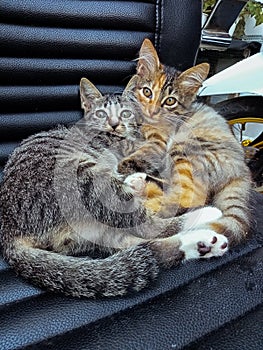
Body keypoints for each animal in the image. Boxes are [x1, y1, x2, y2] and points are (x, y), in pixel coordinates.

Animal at [0, 77, 228, 298]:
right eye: (102, 113)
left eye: (125, 112)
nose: (114, 124)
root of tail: (9, 229)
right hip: (86, 179)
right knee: (147, 225)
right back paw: (204, 215)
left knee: (143, 245)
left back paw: (203, 243)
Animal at [118, 38, 253, 246]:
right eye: (147, 92)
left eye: (170, 101)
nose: (153, 111)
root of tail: (241, 169)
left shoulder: (159, 143)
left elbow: (137, 156)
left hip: (184, 149)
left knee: (188, 199)